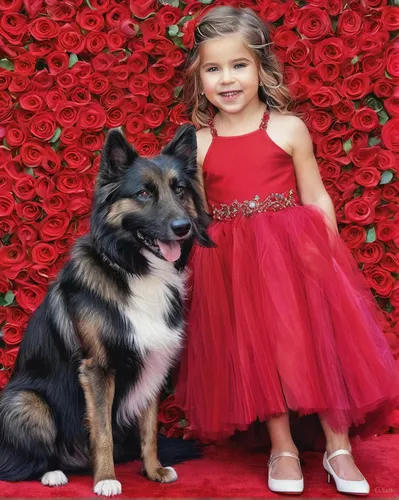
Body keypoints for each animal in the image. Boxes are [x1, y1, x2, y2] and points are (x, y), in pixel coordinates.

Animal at [0, 125, 214, 496]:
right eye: (143, 193)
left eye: (180, 189)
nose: (182, 227)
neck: (134, 268)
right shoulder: (97, 368)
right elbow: (102, 433)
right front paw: (106, 479)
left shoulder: (155, 364)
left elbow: (150, 430)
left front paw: (153, 470)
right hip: (25, 402)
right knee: (25, 459)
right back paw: (52, 473)